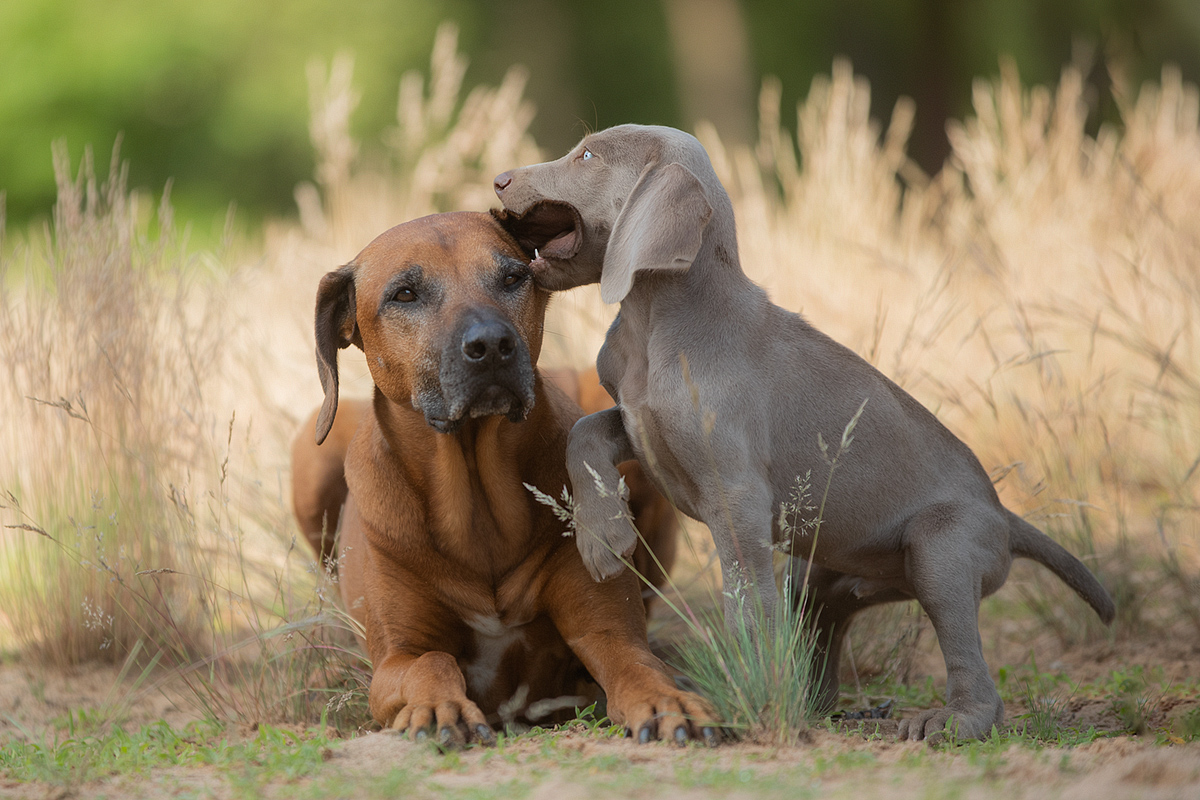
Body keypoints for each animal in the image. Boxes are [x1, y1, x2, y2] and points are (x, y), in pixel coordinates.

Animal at [288, 211, 710, 743]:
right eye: (404, 293)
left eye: (512, 278)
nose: (492, 345)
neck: (476, 492)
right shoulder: (395, 658)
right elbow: (429, 661)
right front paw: (437, 708)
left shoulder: (607, 630)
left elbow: (636, 661)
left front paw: (666, 700)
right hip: (312, 460)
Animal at [492, 125, 1108, 743]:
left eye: (587, 155)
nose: (499, 179)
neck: (655, 323)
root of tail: (1004, 515)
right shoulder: (639, 425)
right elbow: (584, 432)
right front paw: (602, 538)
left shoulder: (736, 496)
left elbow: (746, 604)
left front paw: (749, 693)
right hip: (818, 574)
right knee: (825, 637)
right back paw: (814, 706)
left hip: (942, 549)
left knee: (972, 671)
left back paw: (948, 721)